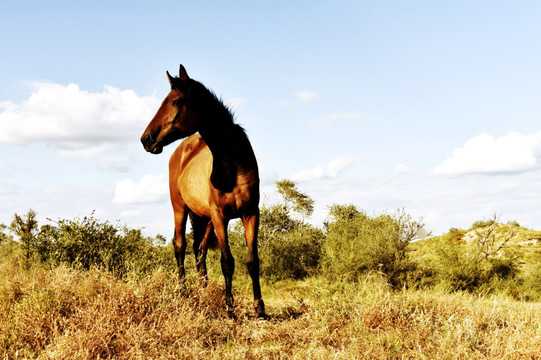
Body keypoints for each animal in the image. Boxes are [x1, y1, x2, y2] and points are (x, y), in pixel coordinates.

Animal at [140, 64, 264, 318]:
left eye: (176, 101)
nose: (146, 139)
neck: (233, 165)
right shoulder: (220, 216)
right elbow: (227, 262)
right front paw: (229, 309)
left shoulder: (250, 214)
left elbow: (252, 261)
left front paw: (260, 310)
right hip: (180, 209)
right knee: (180, 246)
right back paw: (183, 292)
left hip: (203, 219)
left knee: (200, 250)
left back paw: (202, 291)